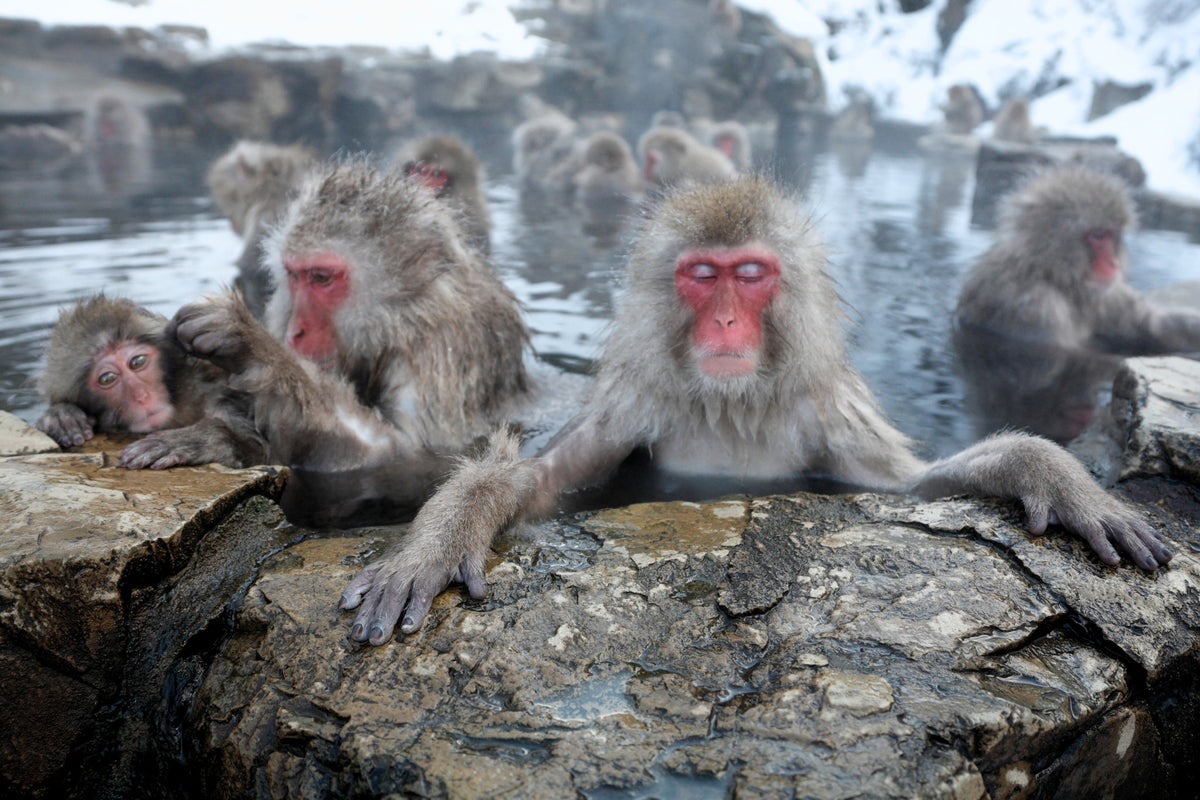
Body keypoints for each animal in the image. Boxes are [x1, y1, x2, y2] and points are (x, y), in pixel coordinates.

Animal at [35, 294, 266, 467]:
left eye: (137, 362)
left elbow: (262, 452)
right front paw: (61, 416)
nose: (141, 396)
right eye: (107, 378)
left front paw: (195, 441)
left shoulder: (220, 401)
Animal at [139, 159, 532, 524]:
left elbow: (402, 453)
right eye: (295, 276)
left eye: (322, 278)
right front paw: (226, 435)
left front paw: (249, 344)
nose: (294, 332)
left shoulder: (440, 347)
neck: (398, 317)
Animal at [340, 176, 1170, 646]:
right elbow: (535, 483)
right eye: (703, 276)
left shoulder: (828, 413)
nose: (728, 322)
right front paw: (435, 543)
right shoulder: (635, 405)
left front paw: (1053, 474)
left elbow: (911, 486)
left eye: (750, 274)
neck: (731, 405)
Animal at [955, 165, 1200, 354]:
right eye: (1097, 235)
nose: (1113, 263)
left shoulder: (1107, 295)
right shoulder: (1034, 306)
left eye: (1111, 234)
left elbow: (1155, 326)